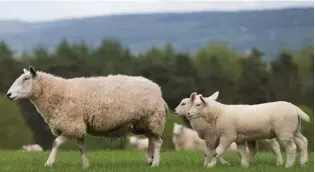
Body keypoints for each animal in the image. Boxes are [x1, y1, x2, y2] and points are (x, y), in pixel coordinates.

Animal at [6, 66, 169, 169]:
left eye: (26, 78)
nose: (8, 94)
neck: (56, 92)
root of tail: (158, 90)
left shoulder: (71, 125)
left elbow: (55, 143)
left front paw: (49, 163)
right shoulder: (78, 126)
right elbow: (81, 148)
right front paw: (86, 165)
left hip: (153, 119)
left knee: (158, 142)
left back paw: (155, 163)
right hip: (143, 122)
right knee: (151, 140)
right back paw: (149, 159)